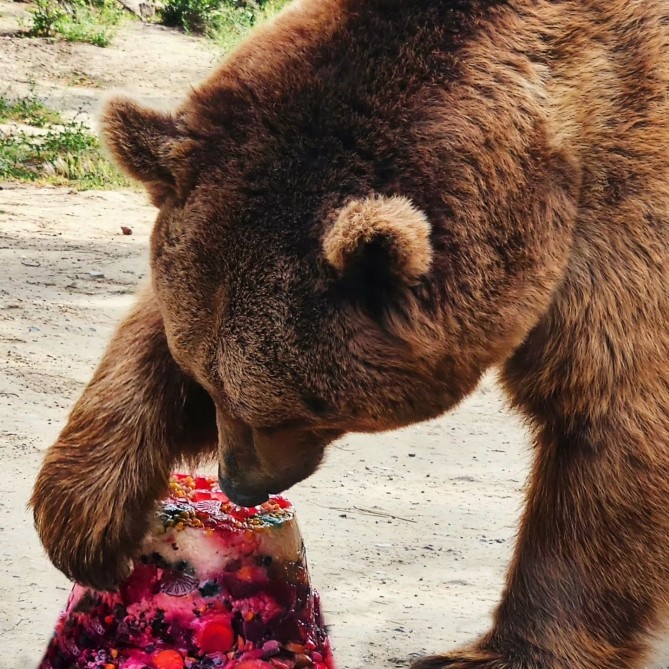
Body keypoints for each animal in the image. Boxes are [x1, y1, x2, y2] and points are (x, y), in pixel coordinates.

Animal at [30, 1, 669, 668]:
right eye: (206, 380)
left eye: (292, 408)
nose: (239, 483)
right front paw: (87, 519)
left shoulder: (622, 208)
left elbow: (604, 420)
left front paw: (500, 651)